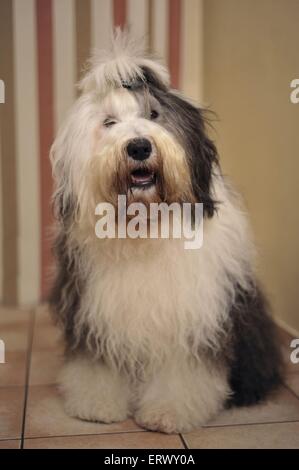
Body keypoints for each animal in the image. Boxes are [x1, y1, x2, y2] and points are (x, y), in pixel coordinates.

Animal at [49, 30, 284, 434]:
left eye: (154, 115)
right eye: (108, 122)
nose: (140, 146)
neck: (145, 224)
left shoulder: (194, 314)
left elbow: (184, 369)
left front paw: (168, 412)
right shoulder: (95, 311)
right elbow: (97, 363)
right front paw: (97, 404)